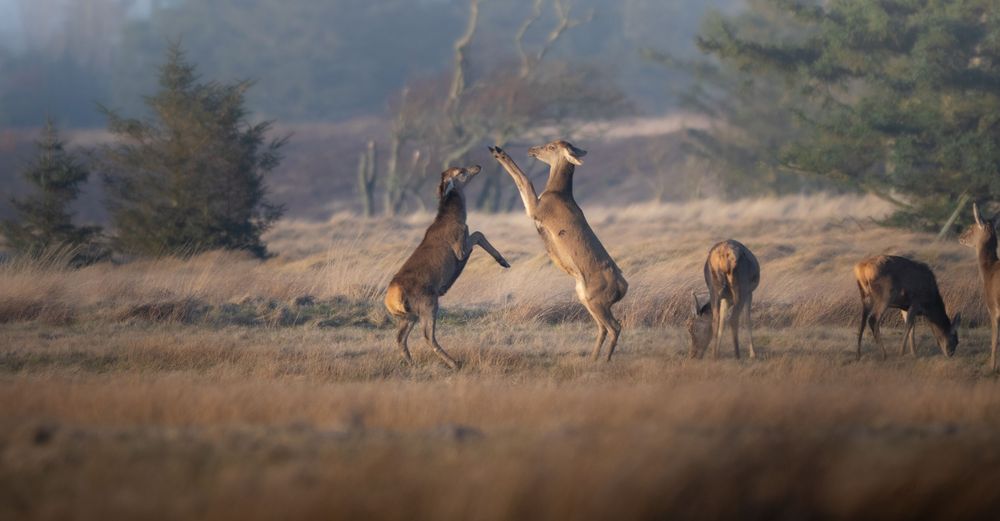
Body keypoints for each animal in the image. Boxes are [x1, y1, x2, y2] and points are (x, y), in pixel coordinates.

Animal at [383, 165, 510, 369]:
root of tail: (391, 299)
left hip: (408, 315)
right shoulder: (459, 246)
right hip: (428, 302)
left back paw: (412, 363)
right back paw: (454, 363)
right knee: (428, 335)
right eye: (461, 171)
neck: (456, 219)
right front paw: (503, 261)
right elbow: (477, 233)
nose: (478, 166)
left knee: (400, 338)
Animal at [489, 140, 628, 361]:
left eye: (552, 147)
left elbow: (525, 180)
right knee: (603, 328)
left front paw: (498, 152)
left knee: (615, 327)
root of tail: (623, 288)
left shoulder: (536, 209)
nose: (532, 149)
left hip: (596, 299)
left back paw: (604, 360)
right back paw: (592, 358)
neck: (556, 192)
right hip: (586, 298)